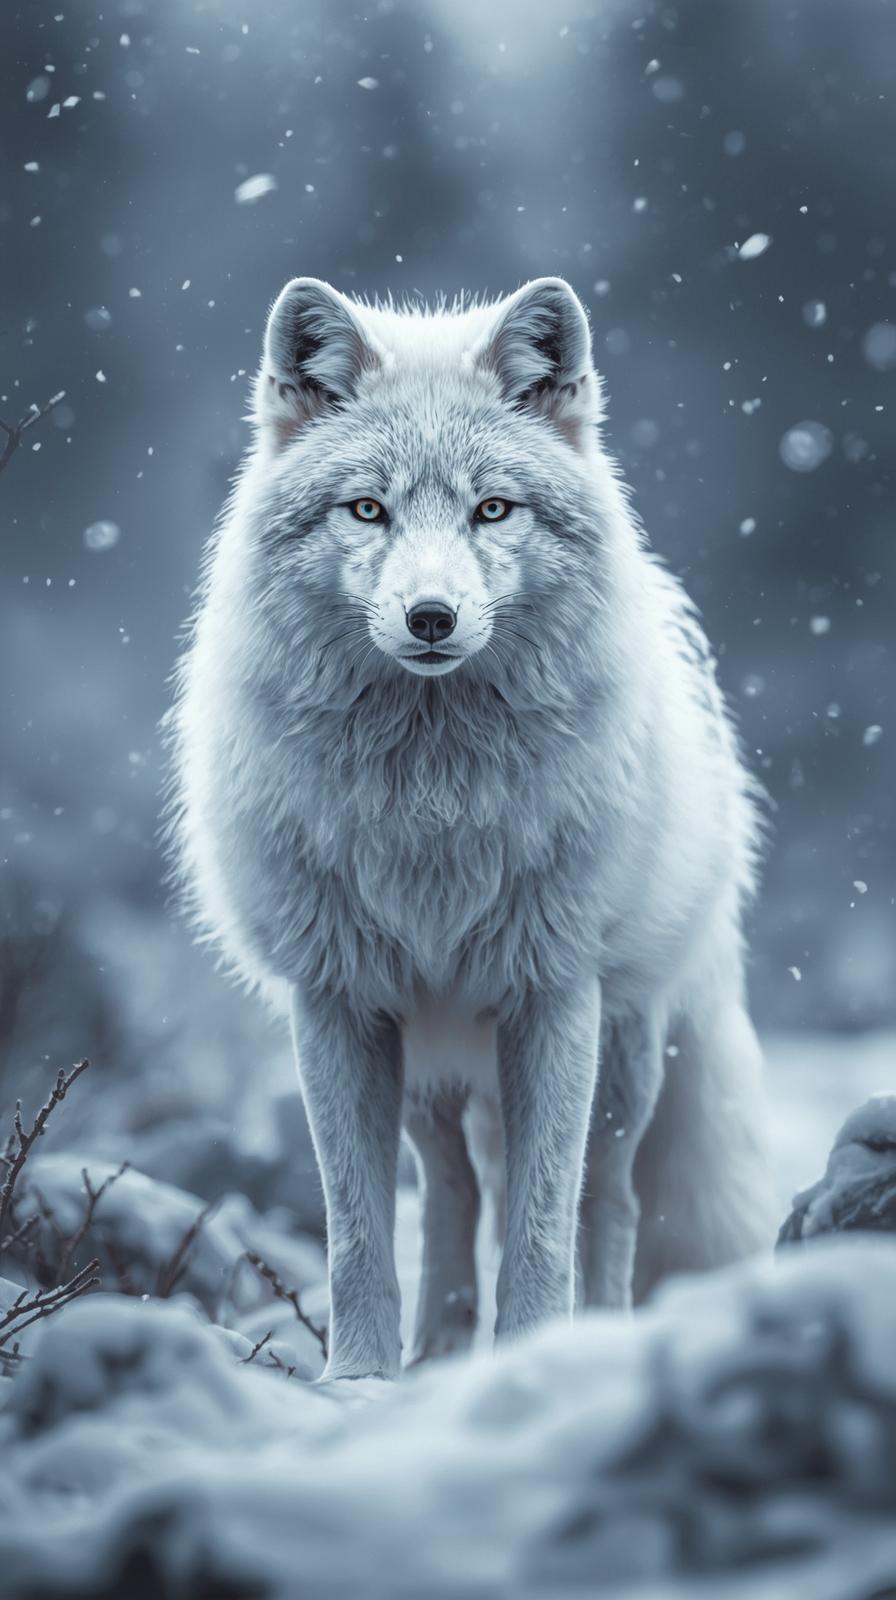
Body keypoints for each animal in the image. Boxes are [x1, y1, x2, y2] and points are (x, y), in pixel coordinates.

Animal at [166, 273, 776, 1380]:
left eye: (491, 508)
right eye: (368, 508)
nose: (431, 619)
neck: (432, 807)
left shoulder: (553, 995)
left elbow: (541, 1222)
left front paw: (538, 1350)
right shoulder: (338, 1003)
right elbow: (357, 1228)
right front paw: (359, 1377)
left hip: (625, 1055)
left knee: (608, 1199)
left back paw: (598, 1328)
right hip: (425, 1072)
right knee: (451, 1195)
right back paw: (441, 1343)